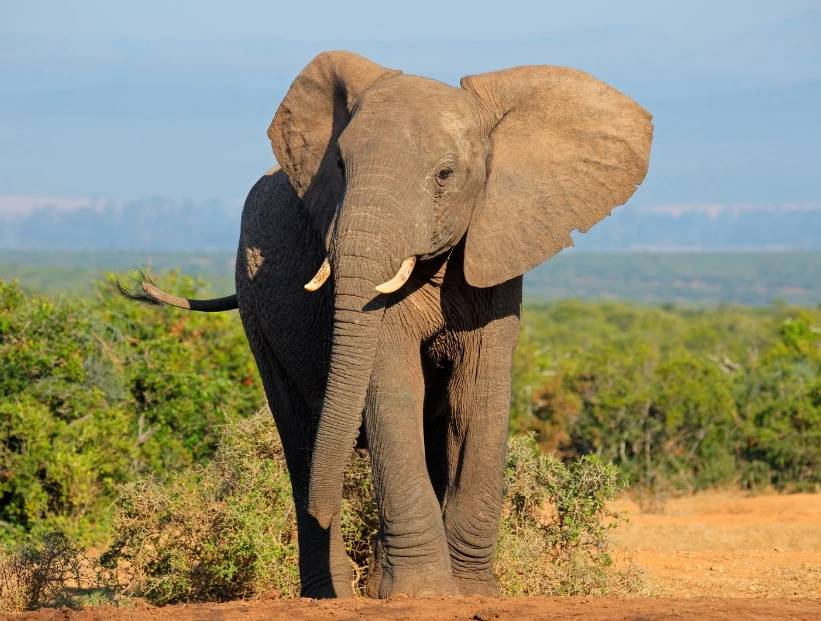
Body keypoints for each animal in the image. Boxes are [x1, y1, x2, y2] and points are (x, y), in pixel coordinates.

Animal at [123, 50, 653, 599]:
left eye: (445, 174)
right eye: (339, 165)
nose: (327, 506)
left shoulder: (498, 249)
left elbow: (478, 394)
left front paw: (471, 593)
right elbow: (393, 386)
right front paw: (422, 594)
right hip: (253, 302)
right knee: (299, 433)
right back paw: (330, 592)